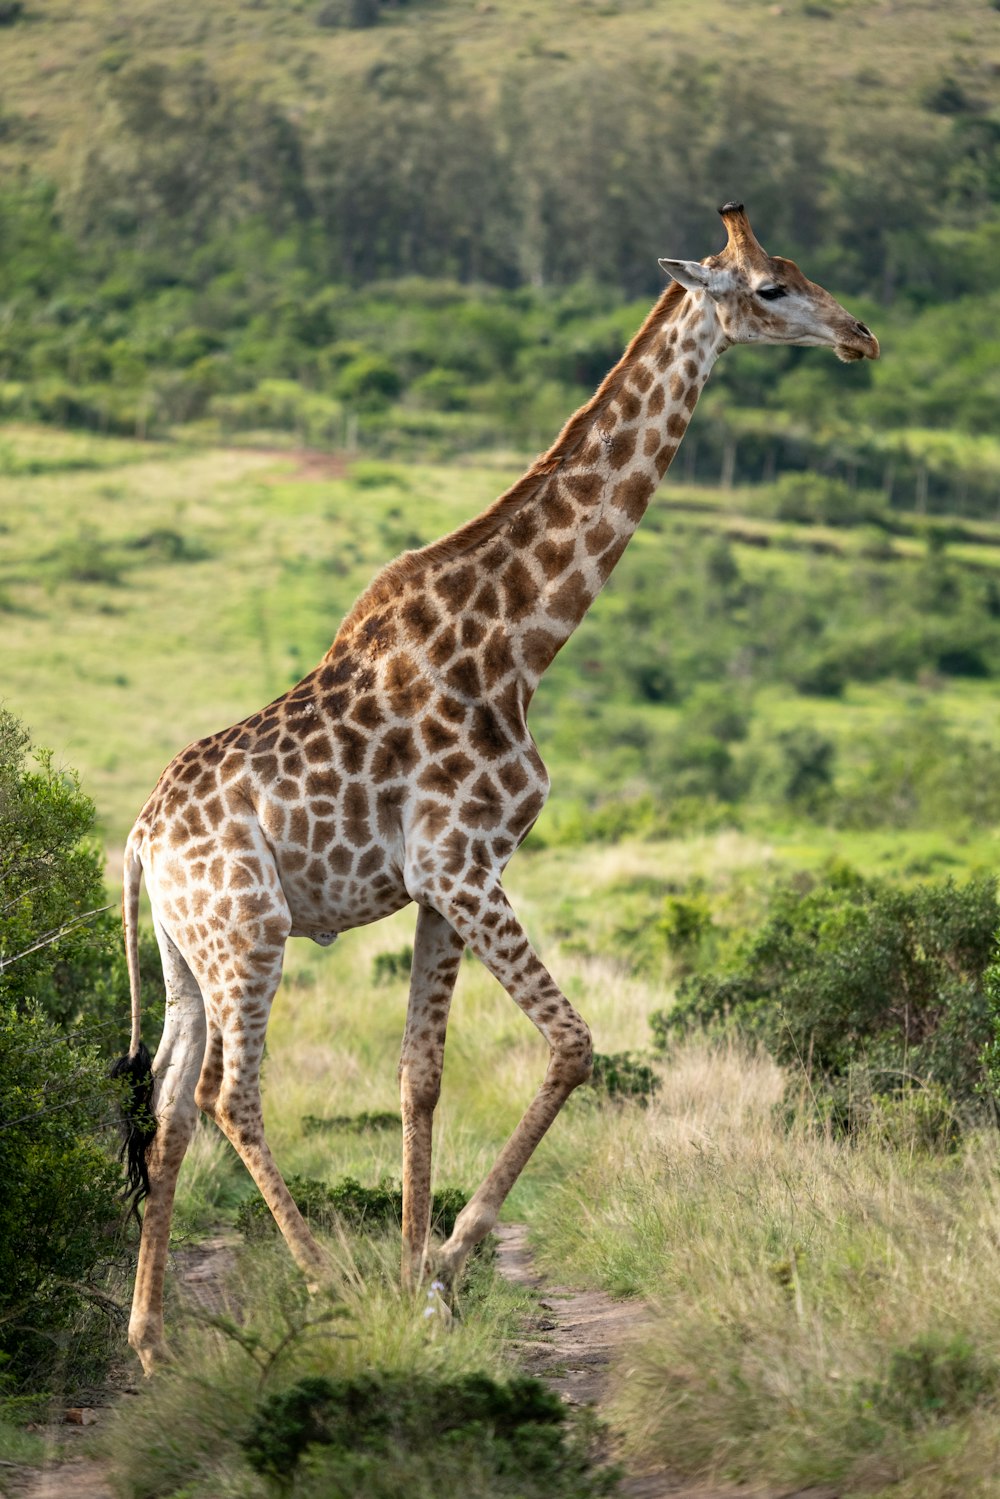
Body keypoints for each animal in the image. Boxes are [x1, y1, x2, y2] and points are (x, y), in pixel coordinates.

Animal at [117, 205, 875, 1373]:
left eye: (796, 272)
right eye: (769, 289)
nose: (860, 337)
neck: (524, 640)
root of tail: (141, 839)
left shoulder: (439, 884)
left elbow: (418, 1075)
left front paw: (418, 1273)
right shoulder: (463, 862)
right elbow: (574, 1043)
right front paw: (435, 1266)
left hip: (184, 946)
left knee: (169, 1102)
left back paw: (152, 1339)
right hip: (250, 926)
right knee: (229, 1092)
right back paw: (326, 1286)